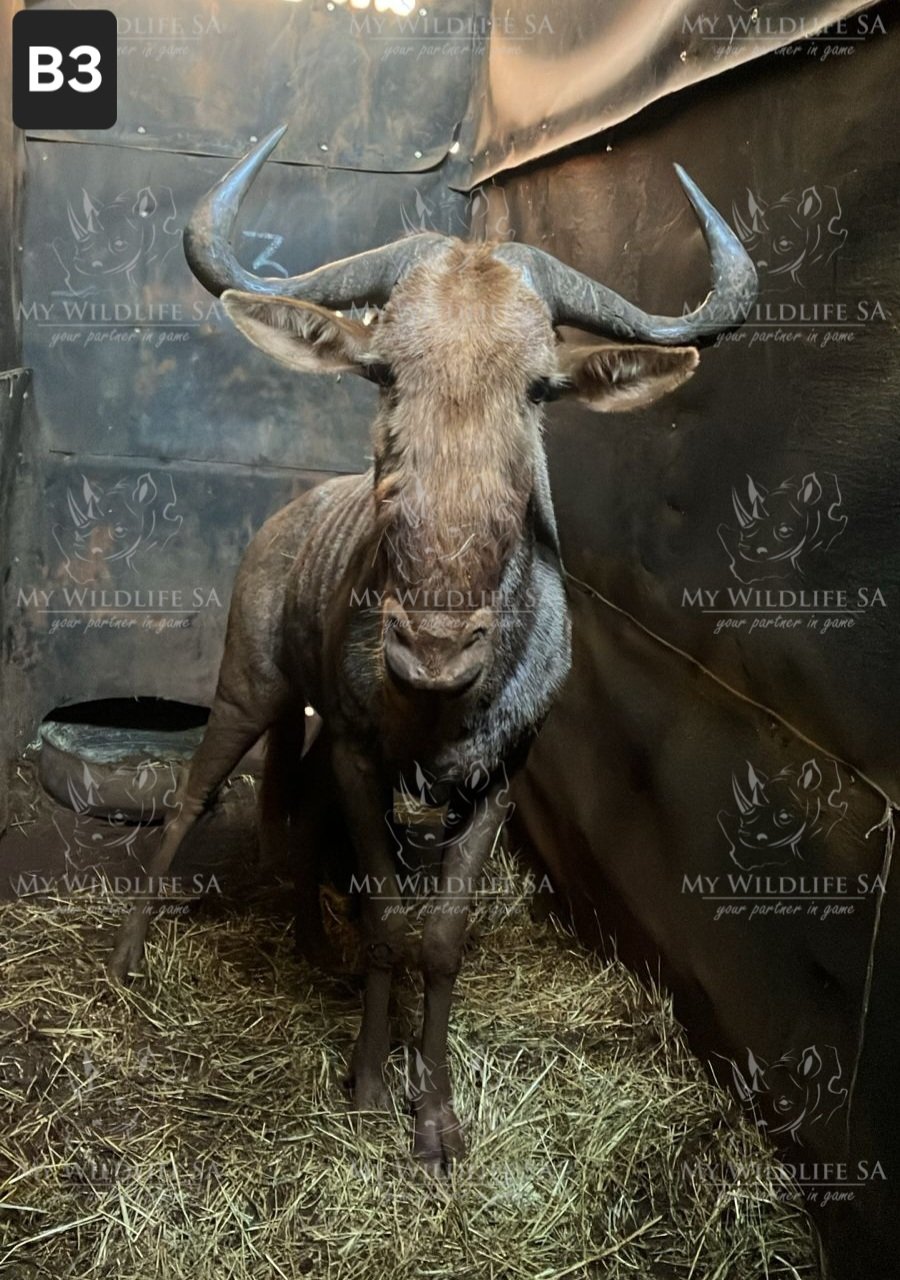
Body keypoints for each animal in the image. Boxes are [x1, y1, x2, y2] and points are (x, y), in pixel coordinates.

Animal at [108, 127, 756, 1171]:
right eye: (383, 371)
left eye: (538, 385)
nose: (434, 648)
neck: (440, 704)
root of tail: (285, 521)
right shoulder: (361, 756)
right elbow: (384, 916)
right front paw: (372, 1086)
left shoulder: (496, 781)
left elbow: (440, 936)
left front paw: (439, 1116)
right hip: (246, 691)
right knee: (190, 802)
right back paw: (130, 959)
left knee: (298, 818)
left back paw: (309, 946)